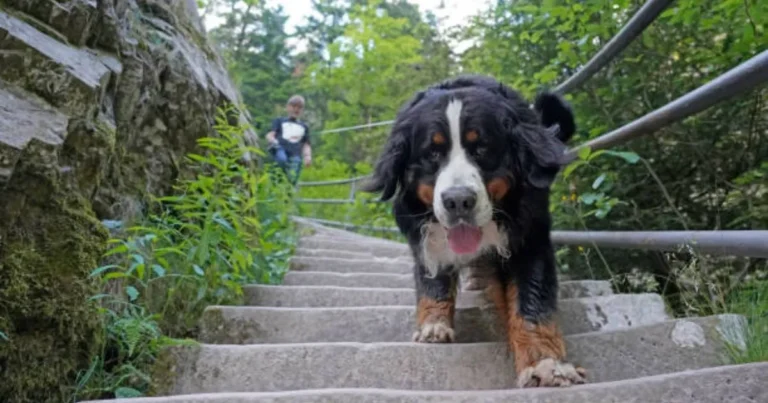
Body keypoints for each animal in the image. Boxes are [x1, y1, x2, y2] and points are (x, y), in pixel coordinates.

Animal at [364, 75, 584, 388]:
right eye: (433, 153)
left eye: (481, 149)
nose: (458, 200)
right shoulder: (424, 235)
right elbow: (433, 278)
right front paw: (434, 324)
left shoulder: (530, 236)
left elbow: (532, 300)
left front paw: (546, 363)